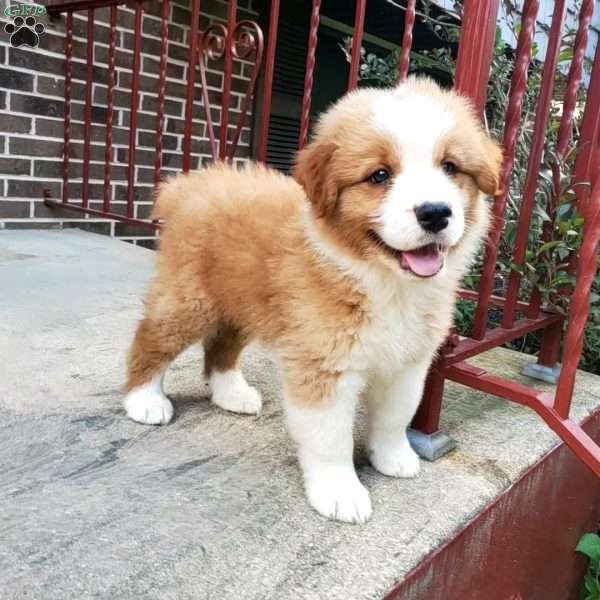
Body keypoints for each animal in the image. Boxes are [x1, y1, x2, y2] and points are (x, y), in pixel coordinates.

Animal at [123, 77, 502, 524]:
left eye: (450, 167)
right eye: (379, 175)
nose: (435, 213)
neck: (385, 283)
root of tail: (192, 184)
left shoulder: (409, 362)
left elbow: (395, 416)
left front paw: (393, 458)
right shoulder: (324, 364)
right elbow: (330, 438)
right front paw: (341, 493)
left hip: (243, 301)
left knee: (221, 347)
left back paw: (232, 395)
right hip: (189, 299)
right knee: (152, 338)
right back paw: (145, 400)